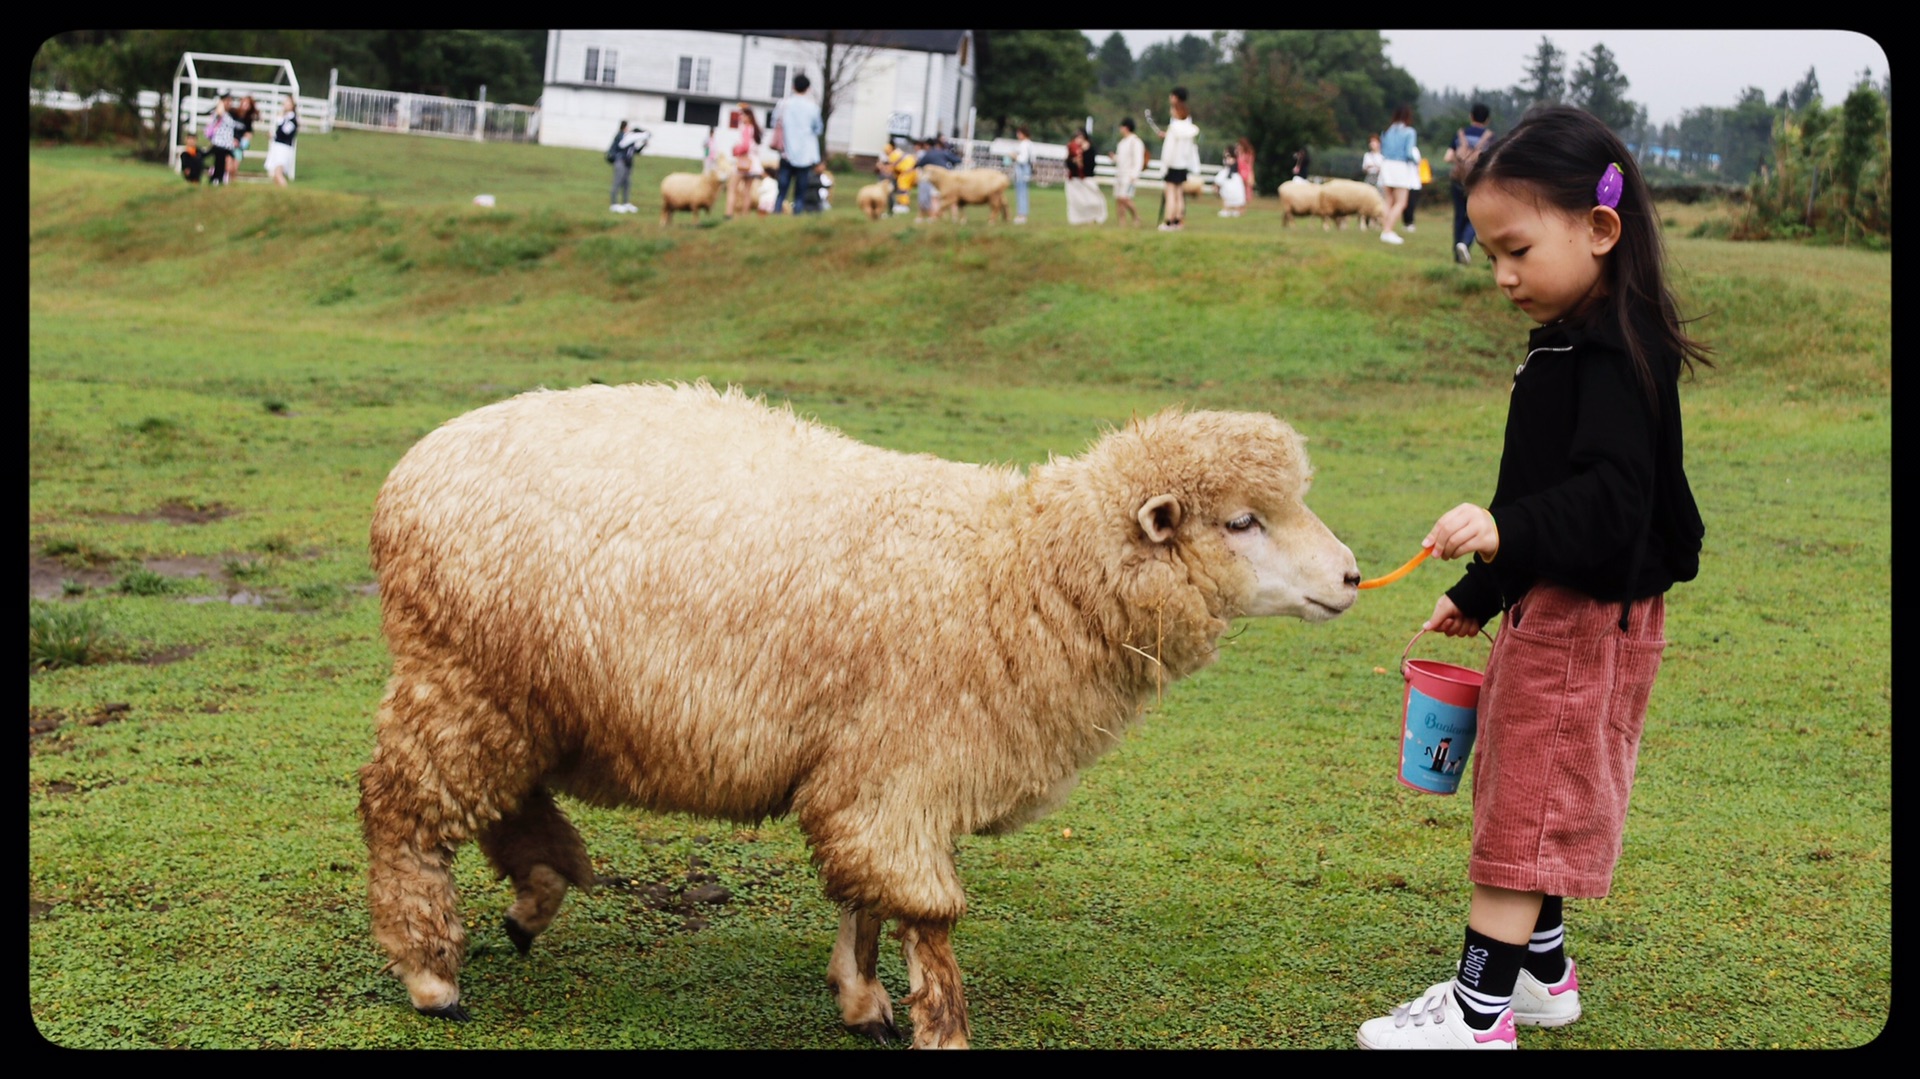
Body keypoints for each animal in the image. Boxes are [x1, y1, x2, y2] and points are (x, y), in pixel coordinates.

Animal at [360, 380, 1367, 1044]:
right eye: (1241, 521)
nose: (1355, 575)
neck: (1018, 574)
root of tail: (413, 469)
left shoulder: (872, 763)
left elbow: (865, 896)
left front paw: (861, 994)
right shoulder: (901, 765)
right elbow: (925, 909)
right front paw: (940, 1026)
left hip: (517, 696)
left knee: (500, 802)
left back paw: (534, 895)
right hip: (463, 677)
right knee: (401, 810)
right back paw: (431, 972)